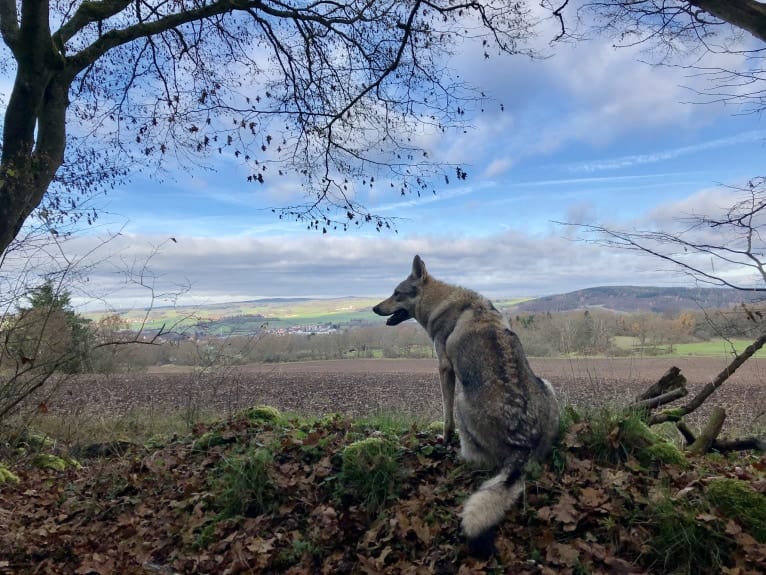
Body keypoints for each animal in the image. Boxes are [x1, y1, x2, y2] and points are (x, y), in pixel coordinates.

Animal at [376, 256, 560, 560]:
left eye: (396, 293)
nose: (373, 308)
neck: (445, 302)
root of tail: (523, 443)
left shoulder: (445, 369)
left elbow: (445, 415)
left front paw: (443, 439)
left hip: (463, 400)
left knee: (476, 456)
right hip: (548, 384)